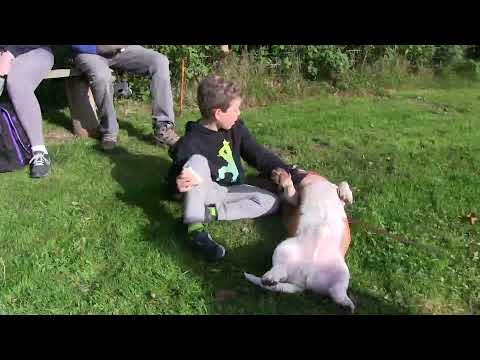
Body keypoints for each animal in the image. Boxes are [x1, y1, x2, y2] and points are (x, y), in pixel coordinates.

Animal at [246, 168, 354, 312]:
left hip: (342, 273)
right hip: (284, 247)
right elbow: (289, 189)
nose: (275, 172)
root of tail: (305, 281)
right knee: (280, 269)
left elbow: (344, 183)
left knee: (337, 293)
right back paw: (269, 278)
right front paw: (284, 177)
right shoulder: (294, 198)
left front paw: (346, 194)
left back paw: (347, 305)